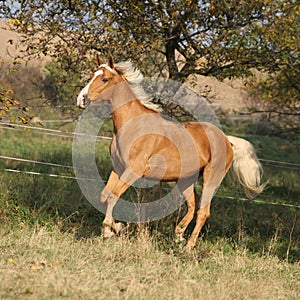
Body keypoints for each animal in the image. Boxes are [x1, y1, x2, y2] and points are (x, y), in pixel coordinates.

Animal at [77, 55, 264, 250]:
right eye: (92, 75)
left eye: (105, 79)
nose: (81, 99)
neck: (132, 125)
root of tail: (226, 139)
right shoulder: (119, 169)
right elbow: (104, 196)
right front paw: (118, 228)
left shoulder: (133, 171)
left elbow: (113, 196)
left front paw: (108, 231)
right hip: (186, 180)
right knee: (193, 206)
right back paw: (179, 235)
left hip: (211, 178)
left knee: (203, 211)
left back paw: (188, 246)